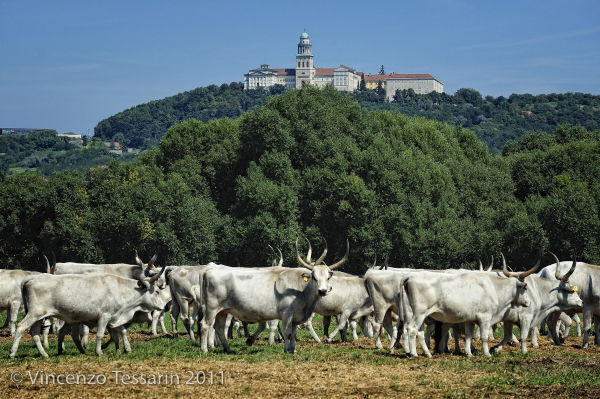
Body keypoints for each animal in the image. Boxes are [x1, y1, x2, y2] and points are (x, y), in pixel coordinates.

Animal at [9, 262, 168, 360]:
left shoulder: (114, 317)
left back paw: (44, 354)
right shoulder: (104, 316)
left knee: (35, 332)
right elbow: (99, 335)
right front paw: (99, 352)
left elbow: (121, 331)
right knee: (21, 327)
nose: (163, 307)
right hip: (34, 313)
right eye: (157, 291)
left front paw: (126, 349)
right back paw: (12, 353)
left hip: (39, 316)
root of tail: (32, 278)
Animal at [202, 241, 350, 354]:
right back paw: (205, 350)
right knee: (205, 325)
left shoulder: (296, 317)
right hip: (212, 308)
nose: (323, 291)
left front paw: (293, 349)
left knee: (219, 328)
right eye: (314, 276)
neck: (300, 291)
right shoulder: (286, 314)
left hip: (223, 311)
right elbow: (288, 333)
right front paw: (287, 350)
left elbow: (293, 334)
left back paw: (228, 349)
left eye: (328, 277)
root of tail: (208, 271)